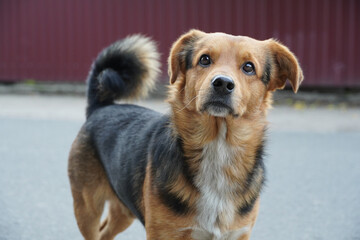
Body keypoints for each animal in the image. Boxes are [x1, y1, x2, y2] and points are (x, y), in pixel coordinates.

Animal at [68, 29, 304, 239]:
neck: (218, 147)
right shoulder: (163, 234)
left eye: (248, 67)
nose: (222, 83)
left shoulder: (238, 234)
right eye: (205, 59)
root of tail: (101, 107)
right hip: (87, 209)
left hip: (123, 209)